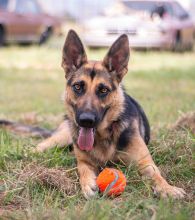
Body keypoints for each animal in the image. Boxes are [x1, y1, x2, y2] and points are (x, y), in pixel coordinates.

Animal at [0, 30, 186, 199]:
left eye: (103, 90)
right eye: (77, 87)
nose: (86, 121)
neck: (103, 135)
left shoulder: (144, 162)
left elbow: (156, 174)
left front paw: (167, 188)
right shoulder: (84, 161)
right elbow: (82, 169)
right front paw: (88, 184)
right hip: (61, 138)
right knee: (39, 147)